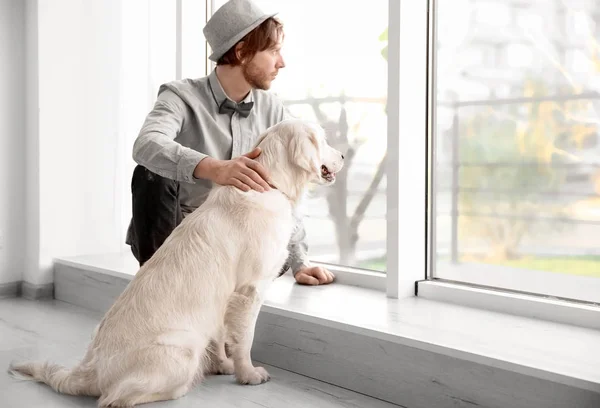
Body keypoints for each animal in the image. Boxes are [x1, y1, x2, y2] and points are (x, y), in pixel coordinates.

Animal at [8, 118, 342, 408]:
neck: (270, 184)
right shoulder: (249, 291)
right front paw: (247, 374)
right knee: (114, 399)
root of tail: (88, 370)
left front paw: (224, 364)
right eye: (324, 140)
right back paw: (183, 386)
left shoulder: (223, 298)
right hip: (181, 351)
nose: (341, 154)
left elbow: (222, 335)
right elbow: (244, 340)